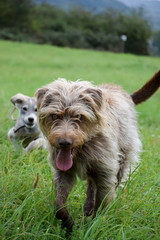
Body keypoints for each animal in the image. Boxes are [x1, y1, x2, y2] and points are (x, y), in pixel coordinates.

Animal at [35, 71, 159, 231]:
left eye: (79, 116)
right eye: (55, 115)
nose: (64, 142)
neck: (84, 147)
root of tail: (125, 94)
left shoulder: (106, 173)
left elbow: (101, 204)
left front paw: (92, 226)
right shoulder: (63, 174)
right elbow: (59, 205)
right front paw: (69, 224)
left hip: (122, 160)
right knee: (91, 183)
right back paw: (88, 204)